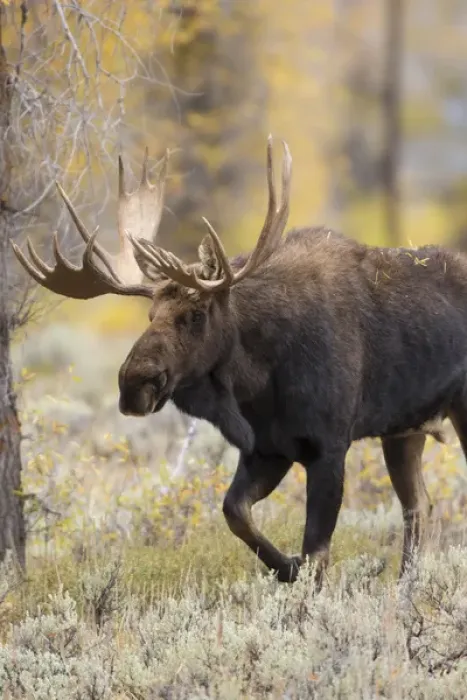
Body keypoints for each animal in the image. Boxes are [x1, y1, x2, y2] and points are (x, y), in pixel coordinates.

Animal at [12, 136, 467, 586]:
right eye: (150, 315)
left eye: (196, 314)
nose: (134, 383)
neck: (257, 383)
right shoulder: (267, 448)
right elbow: (236, 513)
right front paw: (286, 567)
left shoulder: (329, 446)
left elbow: (317, 552)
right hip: (405, 429)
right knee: (419, 506)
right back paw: (406, 585)